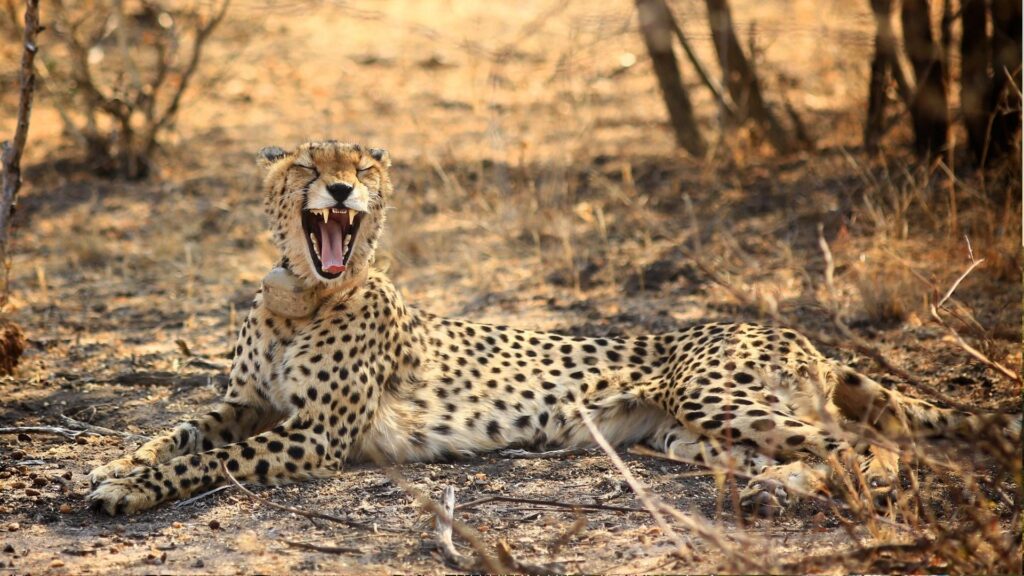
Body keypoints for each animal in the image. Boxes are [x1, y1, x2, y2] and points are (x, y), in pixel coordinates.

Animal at [88, 140, 1015, 516]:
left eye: (365, 167)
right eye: (312, 167)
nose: (343, 192)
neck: (302, 296)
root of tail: (800, 335)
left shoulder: (315, 432)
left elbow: (211, 459)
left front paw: (127, 490)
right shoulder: (246, 402)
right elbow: (177, 432)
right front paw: (110, 468)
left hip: (715, 398)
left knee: (874, 449)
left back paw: (806, 491)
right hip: (682, 435)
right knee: (814, 453)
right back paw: (772, 489)